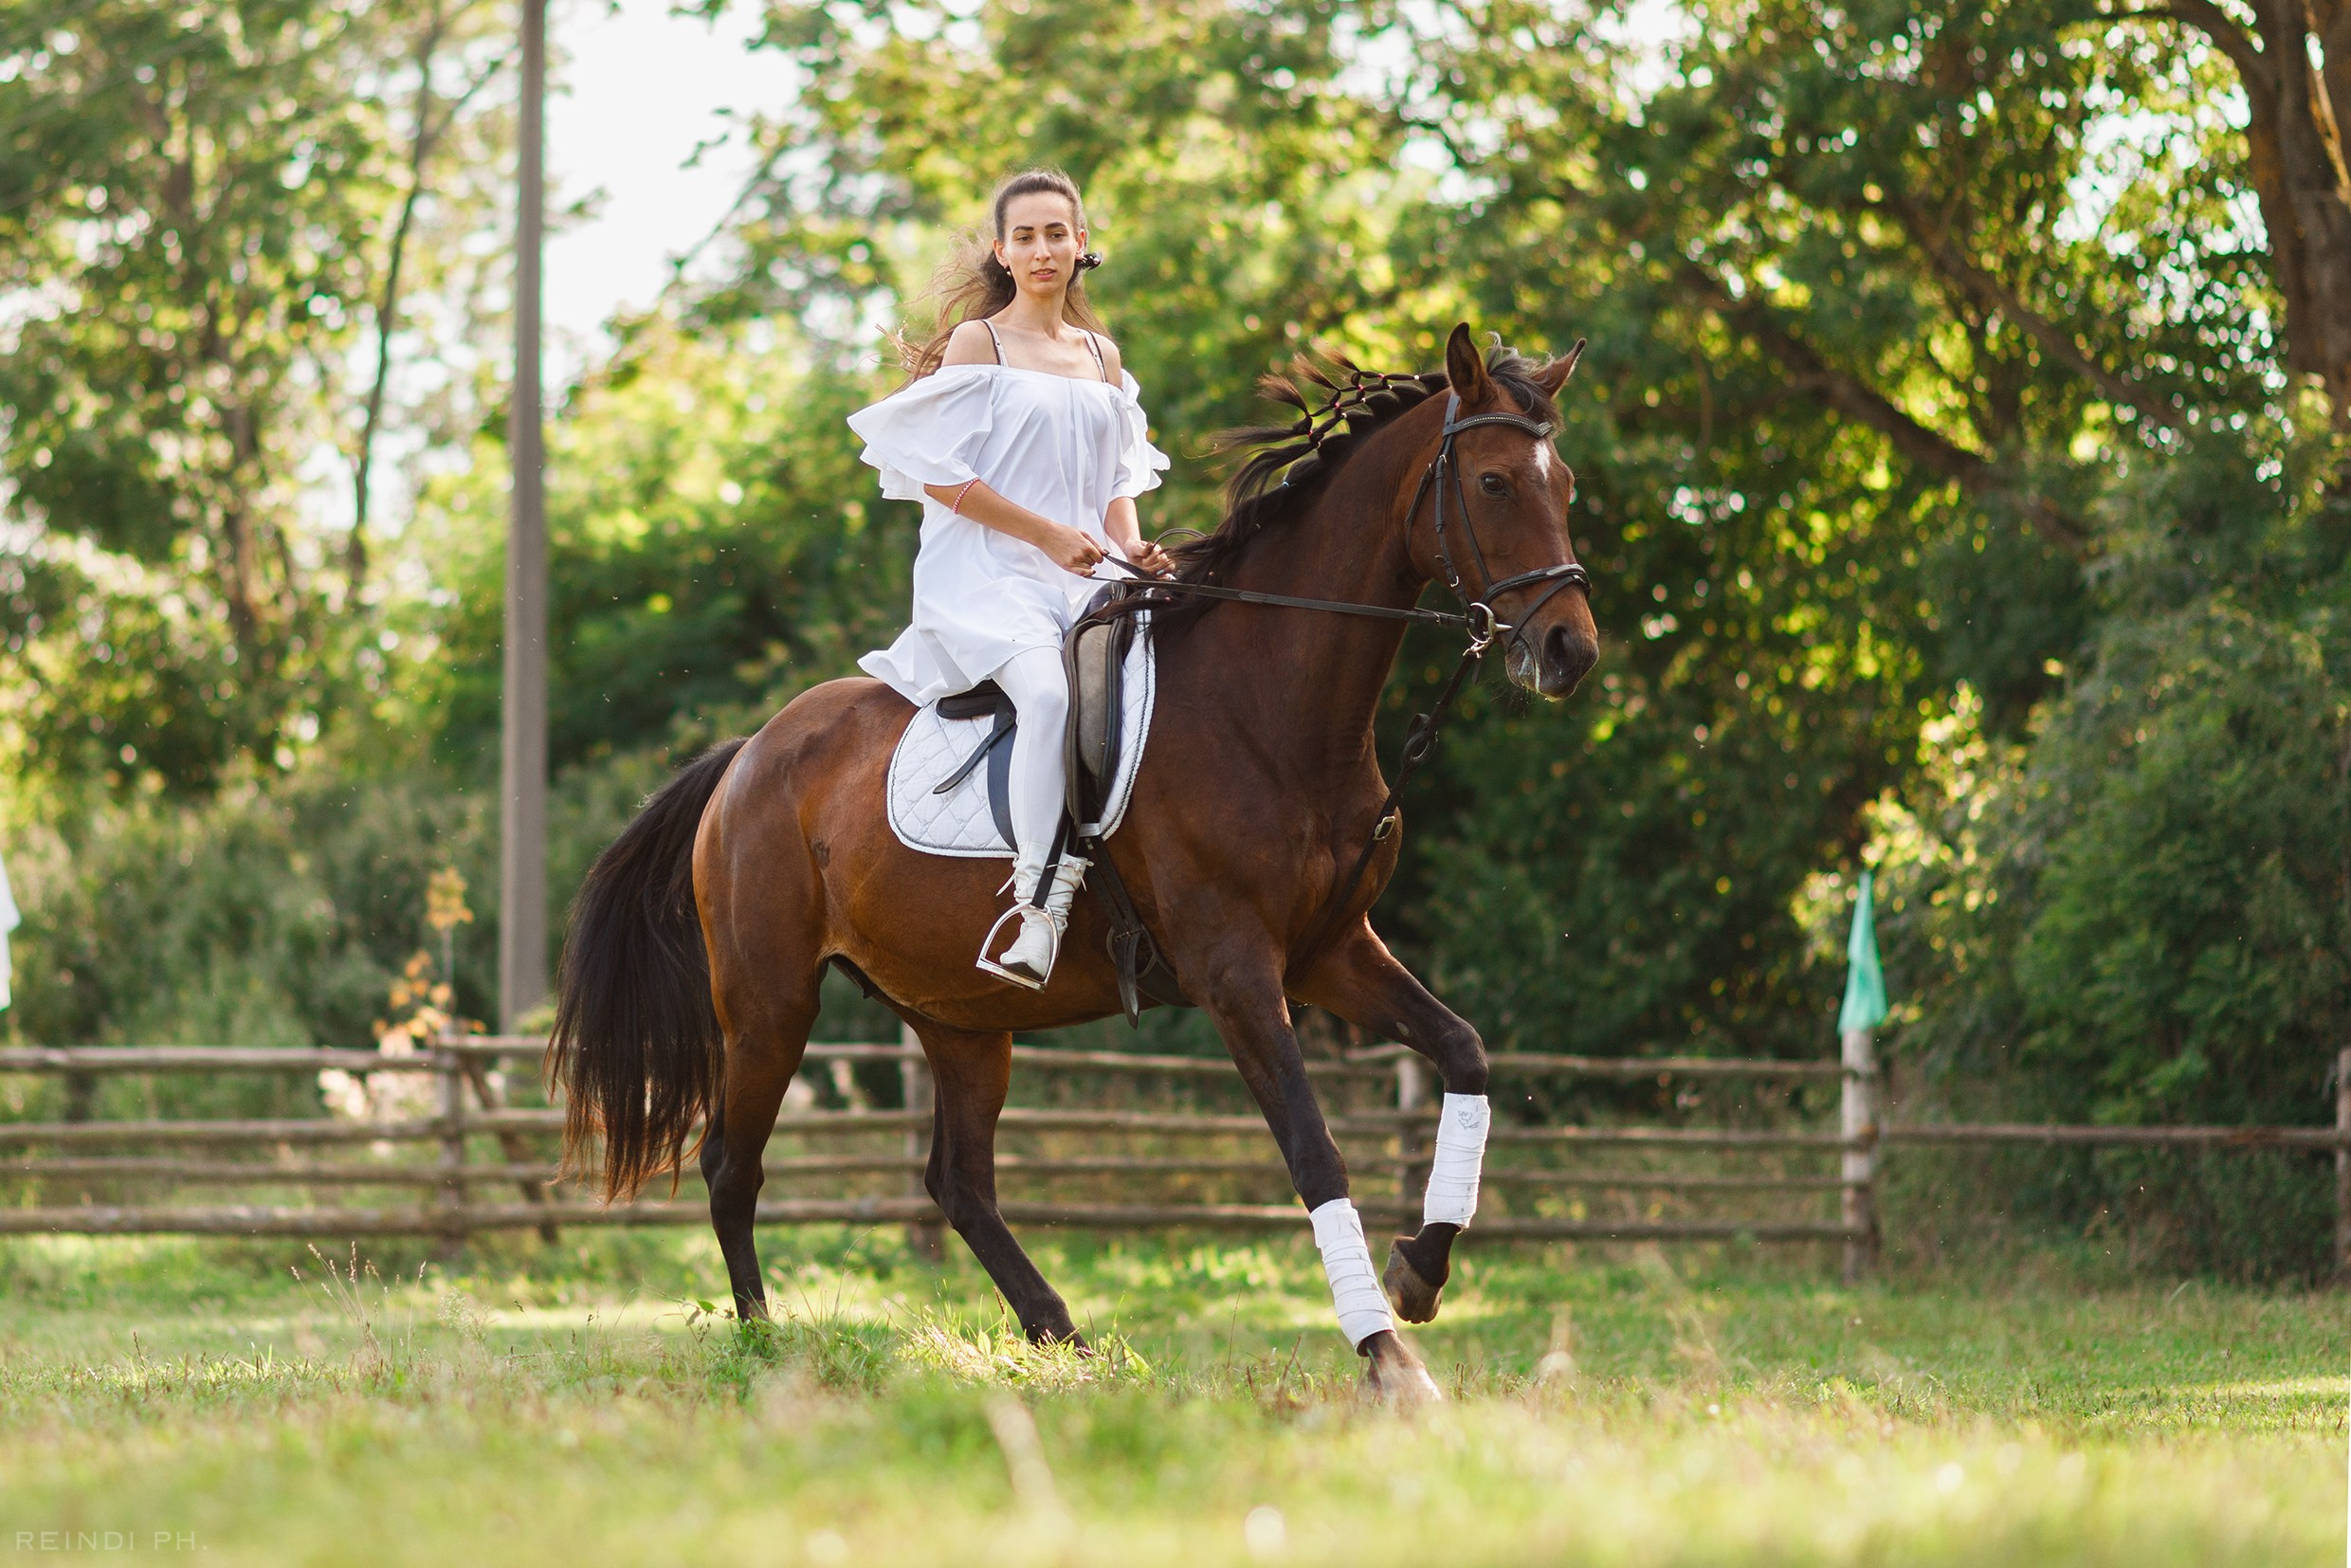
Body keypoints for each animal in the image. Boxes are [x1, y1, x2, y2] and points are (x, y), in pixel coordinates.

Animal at [548, 322, 1599, 1400]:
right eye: (1491, 483)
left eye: (1560, 486)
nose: (1570, 651)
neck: (1270, 705)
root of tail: (747, 755)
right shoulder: (1236, 972)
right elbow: (1314, 1153)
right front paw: (1388, 1357)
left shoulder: (1330, 951)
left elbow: (1464, 1050)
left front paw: (1420, 1270)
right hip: (770, 1005)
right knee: (733, 1164)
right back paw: (768, 1346)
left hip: (961, 1018)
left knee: (959, 1183)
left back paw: (1068, 1340)